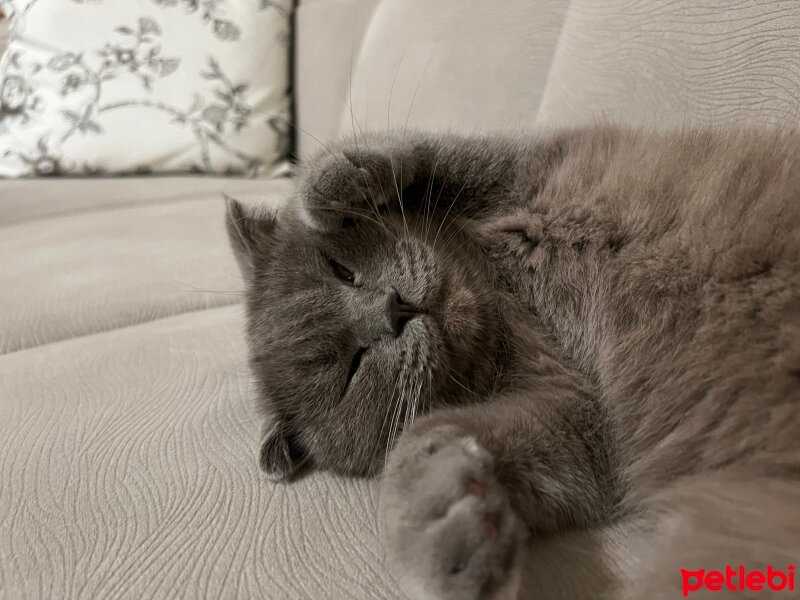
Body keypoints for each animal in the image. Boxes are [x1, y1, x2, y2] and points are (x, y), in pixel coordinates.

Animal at [225, 124, 800, 596]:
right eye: (351, 369)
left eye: (340, 269)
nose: (391, 309)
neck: (503, 299)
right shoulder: (577, 417)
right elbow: (424, 435)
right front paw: (445, 525)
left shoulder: (520, 168)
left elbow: (424, 151)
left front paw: (330, 189)